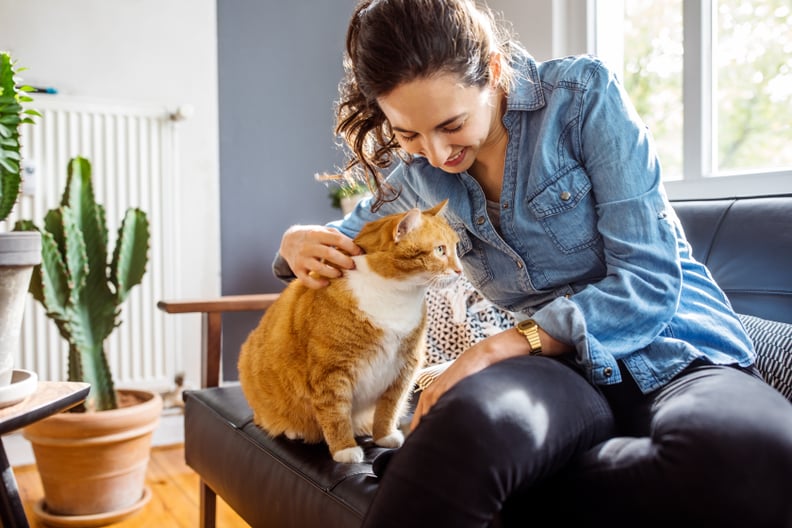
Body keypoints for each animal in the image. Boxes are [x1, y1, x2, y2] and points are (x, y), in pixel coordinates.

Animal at [241, 201, 464, 462]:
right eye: (440, 250)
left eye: (456, 248)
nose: (460, 271)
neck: (395, 295)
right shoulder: (331, 371)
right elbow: (336, 414)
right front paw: (345, 449)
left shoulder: (405, 367)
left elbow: (389, 407)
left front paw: (384, 436)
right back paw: (294, 430)